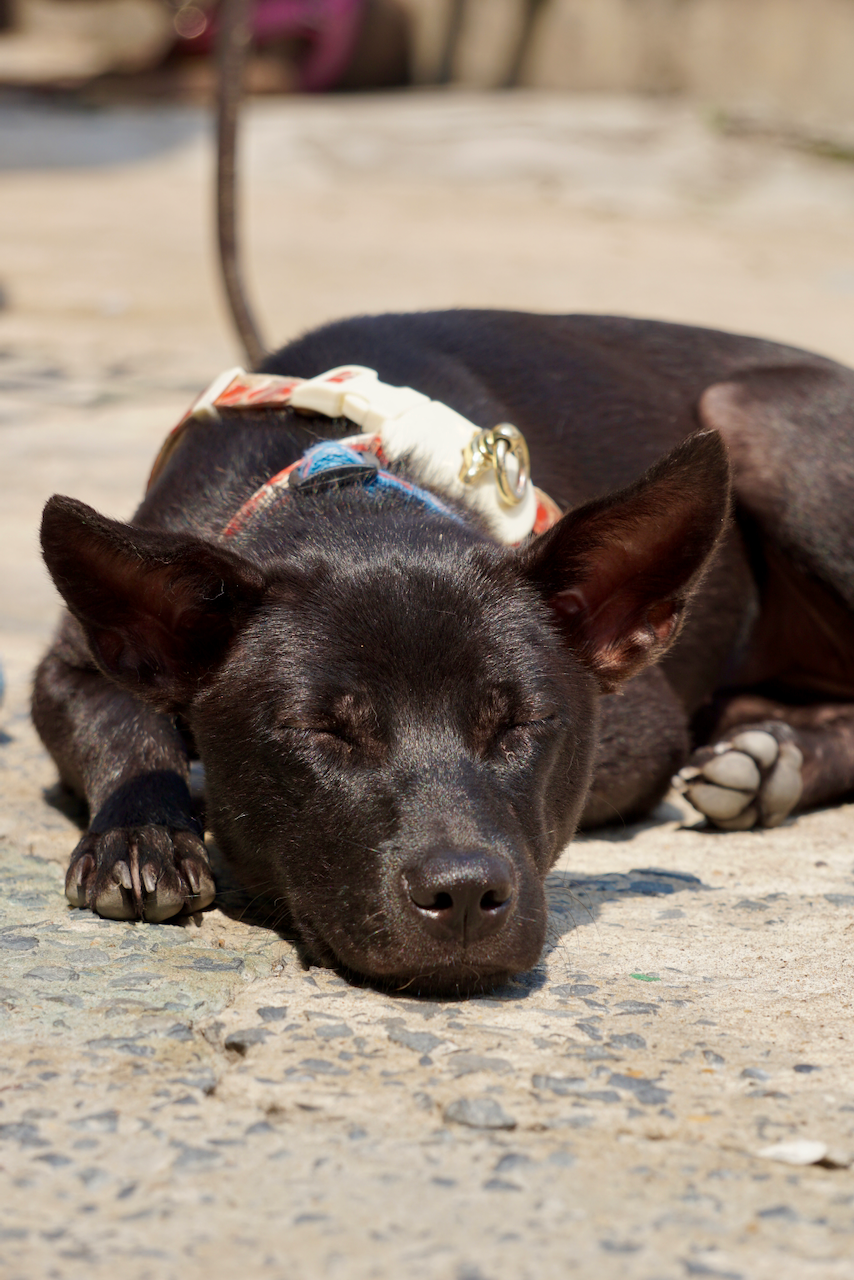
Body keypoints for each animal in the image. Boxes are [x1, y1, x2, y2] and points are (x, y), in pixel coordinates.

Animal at [34, 309, 854, 995]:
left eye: (522, 724)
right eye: (320, 732)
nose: (463, 896)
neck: (353, 505)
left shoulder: (646, 734)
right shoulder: (69, 669)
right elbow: (127, 726)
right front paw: (141, 833)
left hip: (757, 419)